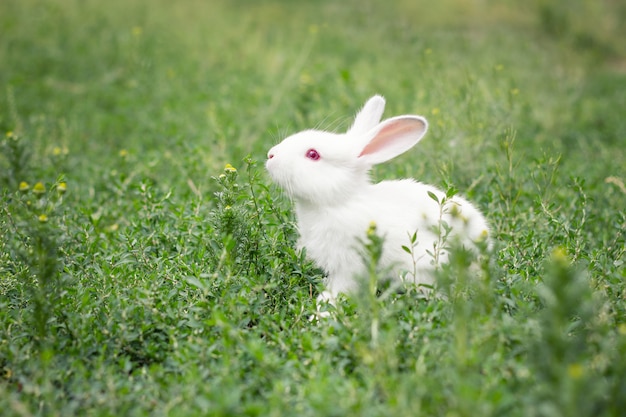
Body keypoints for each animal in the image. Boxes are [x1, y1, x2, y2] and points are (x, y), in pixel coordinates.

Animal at [264, 94, 488, 302]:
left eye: (313, 154)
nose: (270, 155)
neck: (339, 202)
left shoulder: (350, 264)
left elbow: (341, 288)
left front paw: (323, 309)